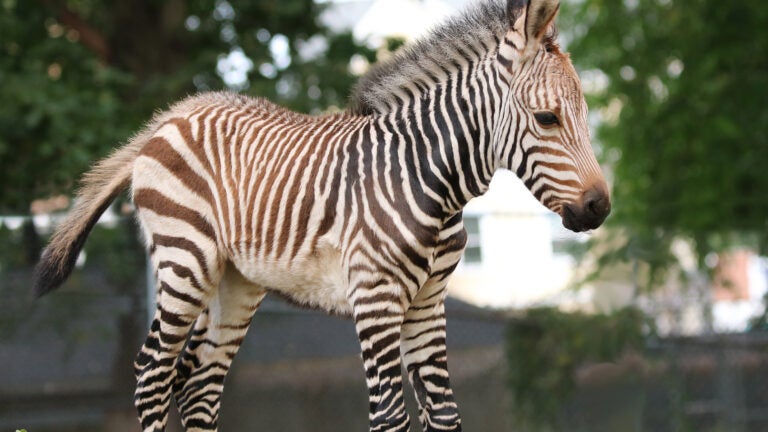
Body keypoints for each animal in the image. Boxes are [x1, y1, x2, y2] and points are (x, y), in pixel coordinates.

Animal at [34, 0, 612, 430]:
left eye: (586, 115)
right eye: (547, 118)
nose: (599, 207)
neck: (430, 181)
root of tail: (172, 116)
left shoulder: (429, 302)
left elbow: (445, 416)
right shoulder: (375, 297)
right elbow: (392, 417)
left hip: (235, 280)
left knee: (198, 383)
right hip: (185, 261)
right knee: (152, 374)